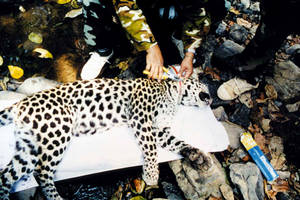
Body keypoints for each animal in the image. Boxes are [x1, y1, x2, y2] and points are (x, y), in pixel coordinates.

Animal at [0, 77, 212, 200]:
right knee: (42, 171)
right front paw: (151, 174)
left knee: (7, 176)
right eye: (205, 87)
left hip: (29, 146)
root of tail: (21, 102)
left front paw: (198, 156)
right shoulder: (141, 118)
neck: (173, 96)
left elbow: (178, 142)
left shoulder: (159, 129)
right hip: (58, 131)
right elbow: (151, 148)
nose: (210, 98)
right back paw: (56, 198)